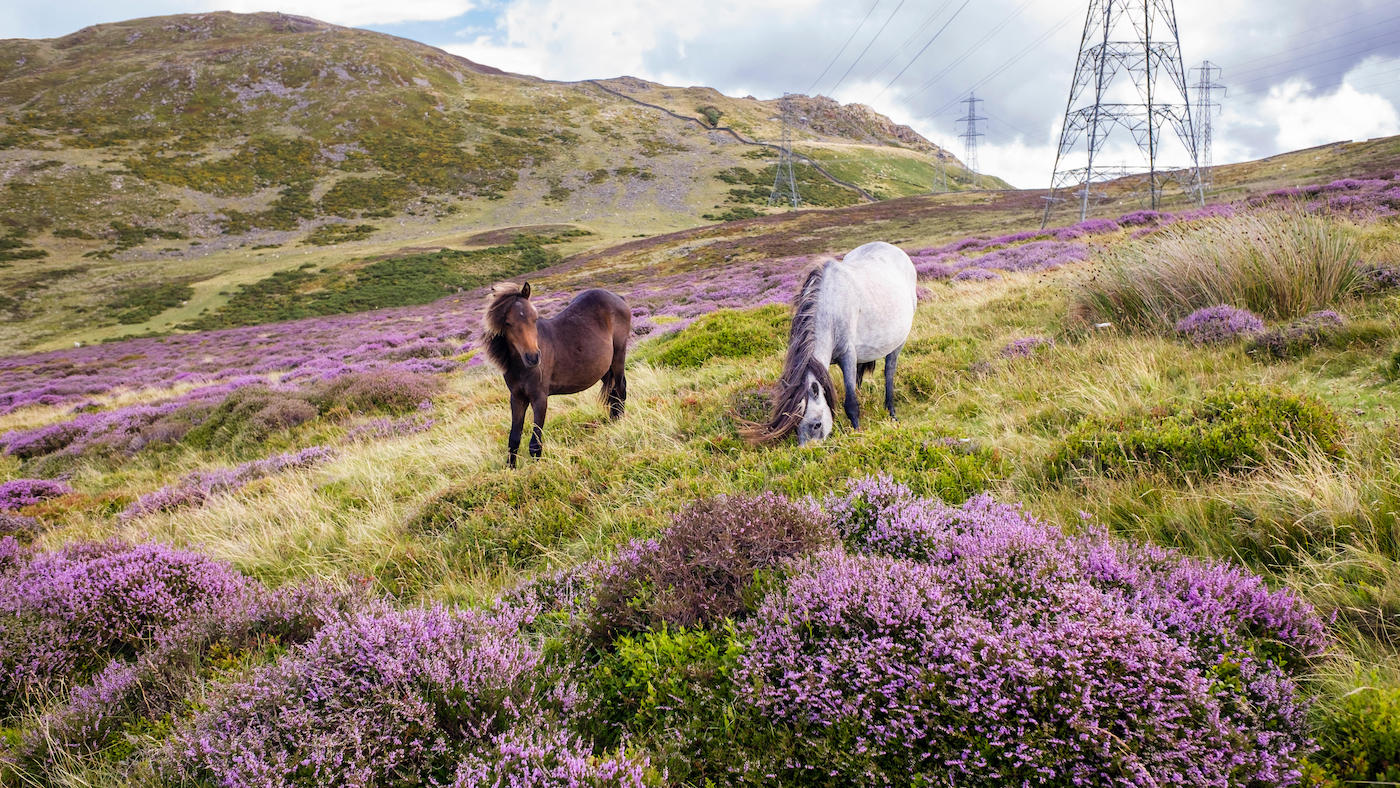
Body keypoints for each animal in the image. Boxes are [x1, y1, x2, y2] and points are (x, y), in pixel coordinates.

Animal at [481, 282, 631, 467]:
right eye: (508, 323)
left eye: (534, 318)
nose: (533, 357)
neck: (521, 368)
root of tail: (618, 297)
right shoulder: (517, 398)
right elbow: (514, 439)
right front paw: (511, 469)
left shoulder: (539, 398)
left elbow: (535, 444)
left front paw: (538, 470)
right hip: (604, 367)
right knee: (613, 392)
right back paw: (612, 421)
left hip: (618, 356)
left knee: (620, 389)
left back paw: (620, 423)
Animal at [744, 241, 917, 446]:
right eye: (795, 426)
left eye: (816, 425)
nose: (808, 451)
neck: (830, 310)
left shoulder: (847, 356)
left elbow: (851, 403)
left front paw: (857, 433)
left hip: (898, 343)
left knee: (889, 372)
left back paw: (891, 412)